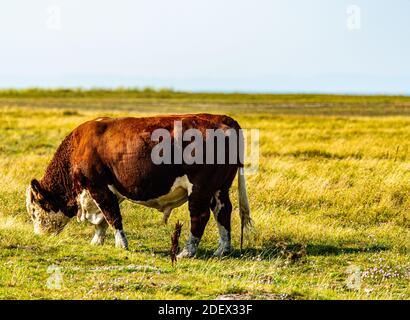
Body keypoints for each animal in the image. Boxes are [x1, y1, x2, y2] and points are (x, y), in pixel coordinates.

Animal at [26, 114, 250, 256]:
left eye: (35, 210)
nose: (38, 235)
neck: (78, 147)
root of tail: (223, 119)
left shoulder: (98, 187)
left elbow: (112, 216)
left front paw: (121, 245)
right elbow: (101, 220)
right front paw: (97, 241)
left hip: (200, 188)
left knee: (199, 216)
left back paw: (187, 251)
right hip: (220, 188)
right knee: (223, 212)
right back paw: (222, 250)